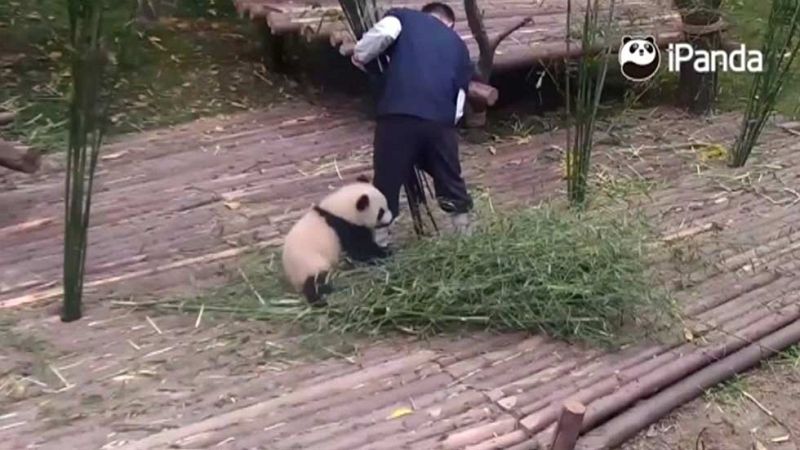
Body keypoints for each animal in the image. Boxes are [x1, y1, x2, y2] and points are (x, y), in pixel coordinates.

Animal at [281, 175, 394, 306]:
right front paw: (384, 253)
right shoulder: (344, 227)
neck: (338, 210)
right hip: (310, 262)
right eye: (380, 212)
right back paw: (320, 297)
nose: (390, 219)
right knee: (315, 280)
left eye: (386, 204)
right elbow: (359, 249)